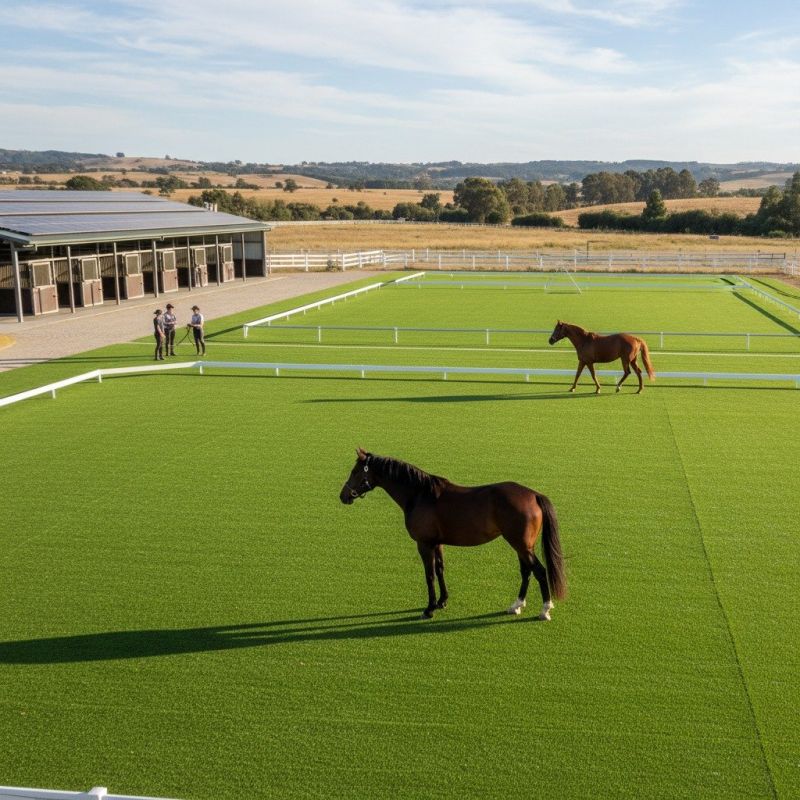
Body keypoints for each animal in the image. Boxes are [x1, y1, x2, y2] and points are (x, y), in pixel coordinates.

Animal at [339, 448, 566, 621]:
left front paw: (429, 608)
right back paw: (516, 605)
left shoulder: (424, 544)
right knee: (526, 571)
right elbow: (440, 569)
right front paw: (442, 601)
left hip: (520, 545)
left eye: (355, 471)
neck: (420, 494)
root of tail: (533, 494)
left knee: (539, 571)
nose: (343, 496)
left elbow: (429, 574)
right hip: (522, 545)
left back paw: (545, 609)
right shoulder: (437, 543)